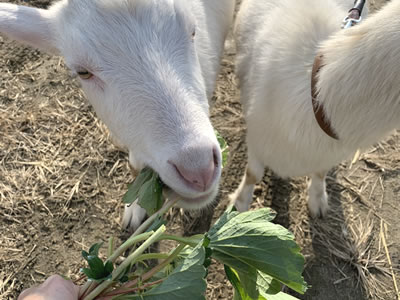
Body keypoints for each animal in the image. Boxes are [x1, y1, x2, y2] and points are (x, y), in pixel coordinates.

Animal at [233, 0, 398, 217]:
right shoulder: (257, 139)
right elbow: (253, 174)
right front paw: (240, 204)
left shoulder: (328, 153)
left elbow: (320, 172)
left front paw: (317, 201)